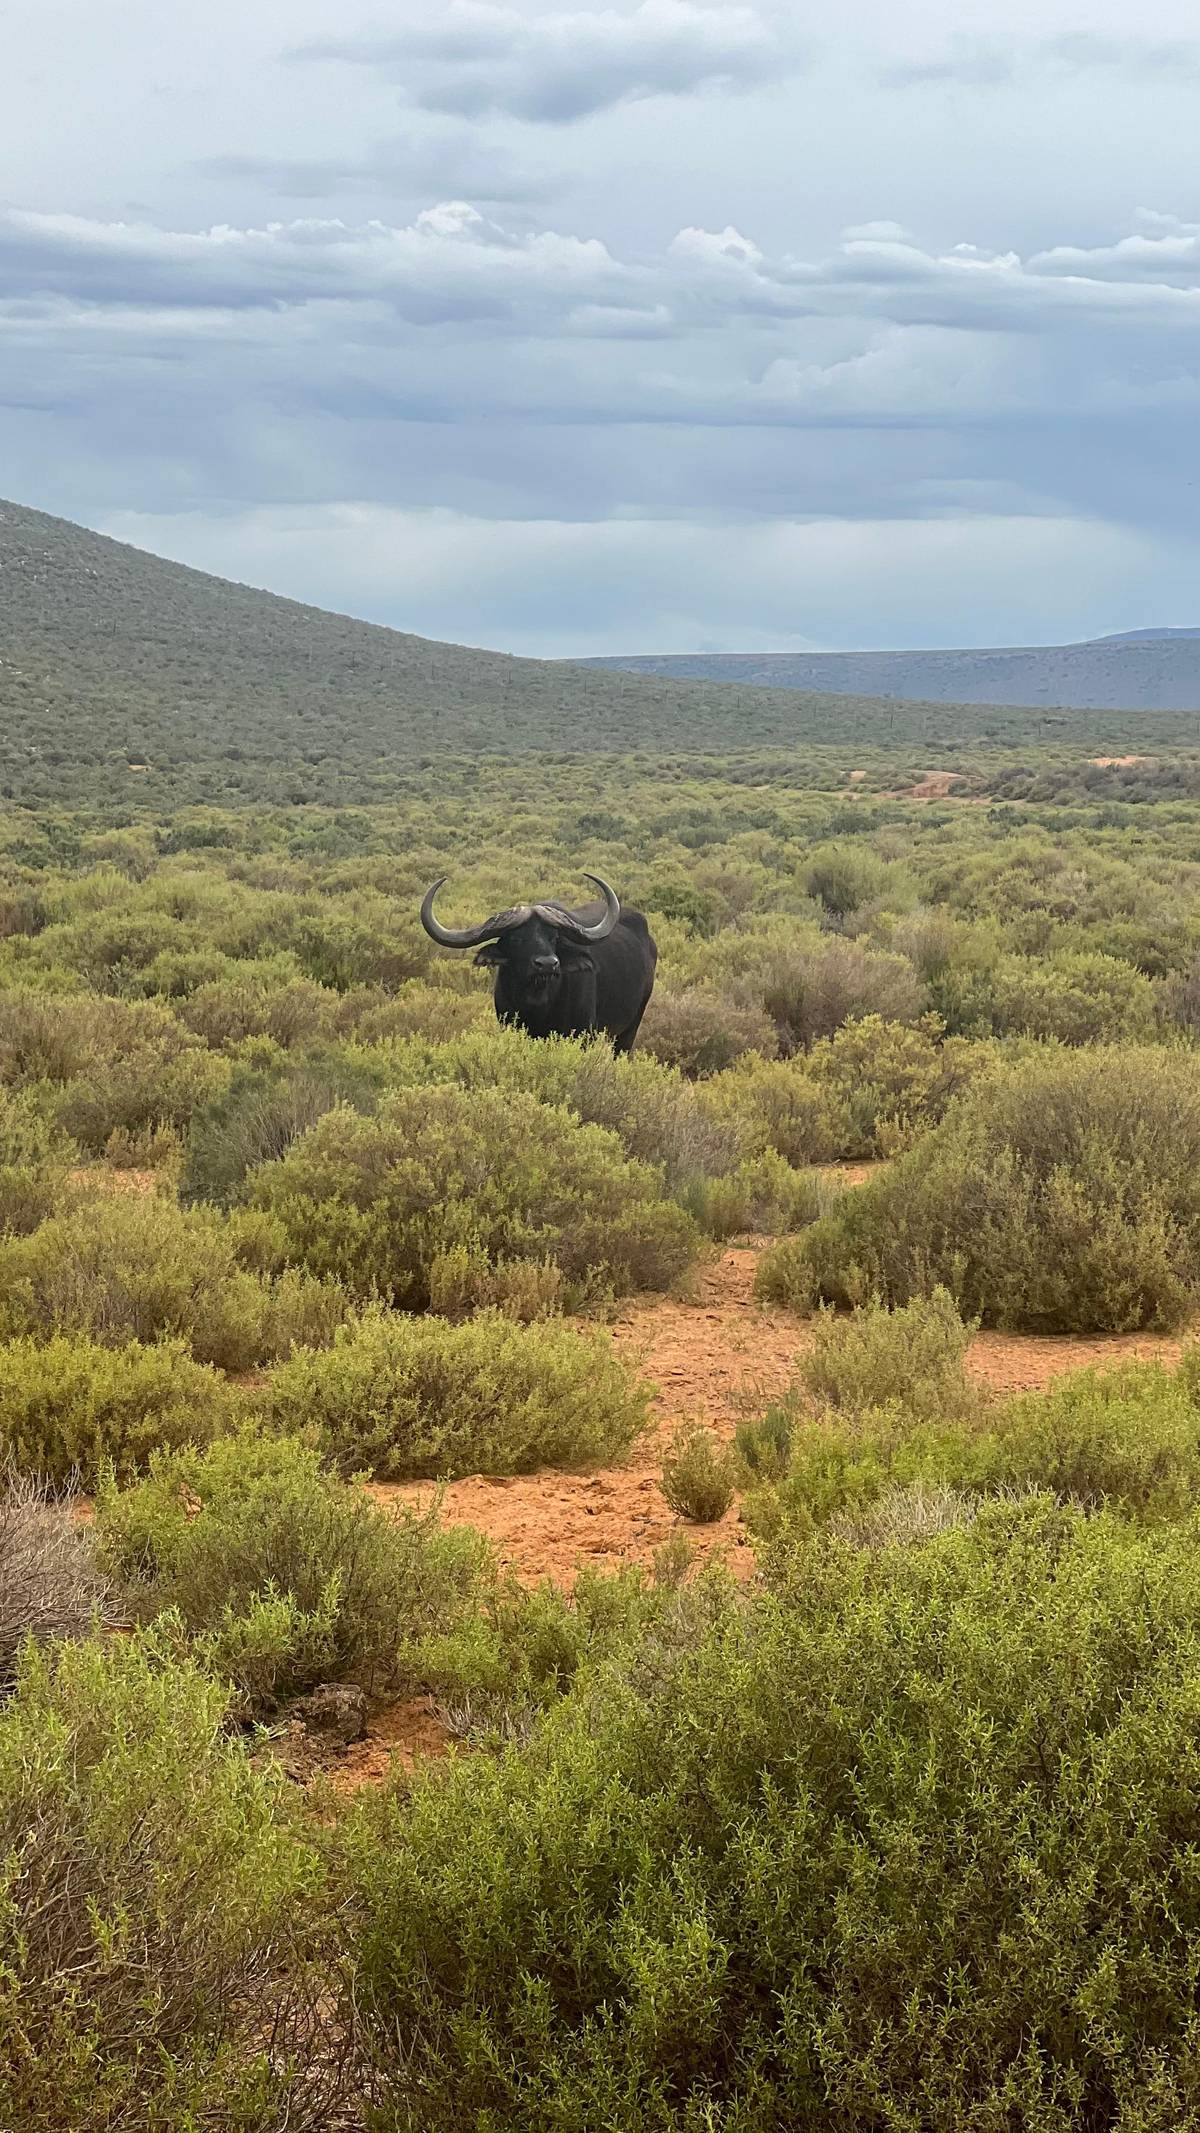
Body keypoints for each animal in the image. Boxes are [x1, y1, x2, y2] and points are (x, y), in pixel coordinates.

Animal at [420, 872, 657, 1053]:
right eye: (516, 938)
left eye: (553, 937)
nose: (548, 964)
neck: (538, 1002)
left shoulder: (583, 1035)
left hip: (630, 1027)